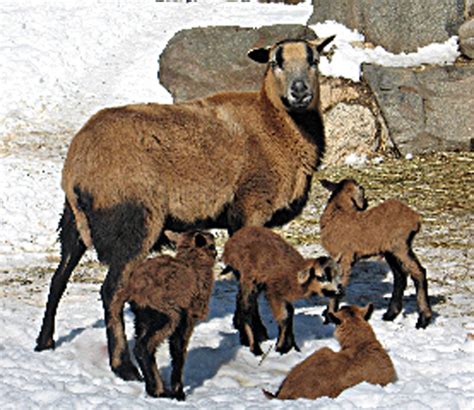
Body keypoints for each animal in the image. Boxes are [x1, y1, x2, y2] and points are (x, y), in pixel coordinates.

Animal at [114, 231, 218, 400]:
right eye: (211, 246)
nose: (216, 253)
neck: (193, 266)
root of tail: (131, 290)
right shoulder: (186, 318)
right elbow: (178, 351)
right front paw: (179, 392)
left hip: (142, 318)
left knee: (142, 346)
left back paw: (155, 389)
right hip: (165, 315)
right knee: (143, 347)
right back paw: (158, 391)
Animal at [222, 226, 340, 358]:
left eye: (337, 276)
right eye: (321, 277)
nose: (337, 292)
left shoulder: (282, 295)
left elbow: (290, 312)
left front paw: (292, 346)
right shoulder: (274, 292)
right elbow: (284, 315)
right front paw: (282, 347)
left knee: (244, 301)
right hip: (247, 278)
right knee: (246, 306)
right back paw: (255, 347)